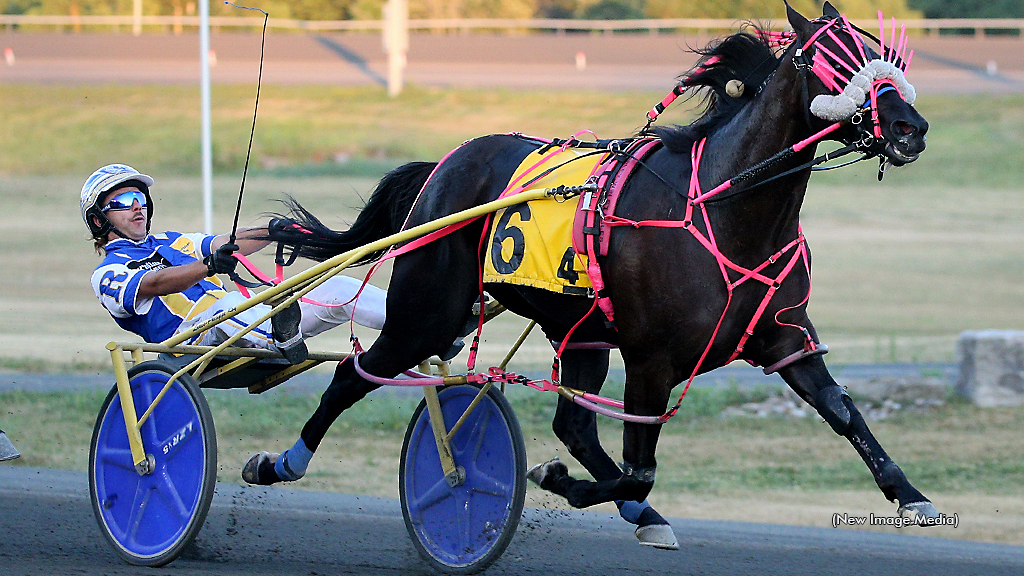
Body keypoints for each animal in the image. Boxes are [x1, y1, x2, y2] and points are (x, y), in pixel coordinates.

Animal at [262, 1, 937, 545]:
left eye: (885, 56)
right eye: (833, 58)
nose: (911, 126)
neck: (726, 204)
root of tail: (445, 164)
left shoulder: (784, 339)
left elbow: (842, 411)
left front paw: (911, 495)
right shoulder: (653, 358)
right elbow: (641, 468)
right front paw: (557, 480)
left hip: (579, 329)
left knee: (575, 425)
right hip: (427, 312)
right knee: (352, 375)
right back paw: (280, 462)